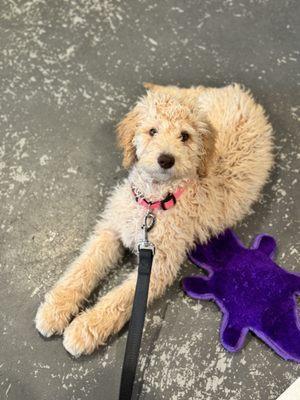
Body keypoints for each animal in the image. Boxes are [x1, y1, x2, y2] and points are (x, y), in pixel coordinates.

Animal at [35, 82, 274, 356]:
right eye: (152, 131)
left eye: (185, 136)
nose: (166, 159)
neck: (153, 202)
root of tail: (239, 92)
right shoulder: (111, 230)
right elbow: (83, 267)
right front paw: (55, 309)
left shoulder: (159, 264)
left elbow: (121, 298)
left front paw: (85, 329)